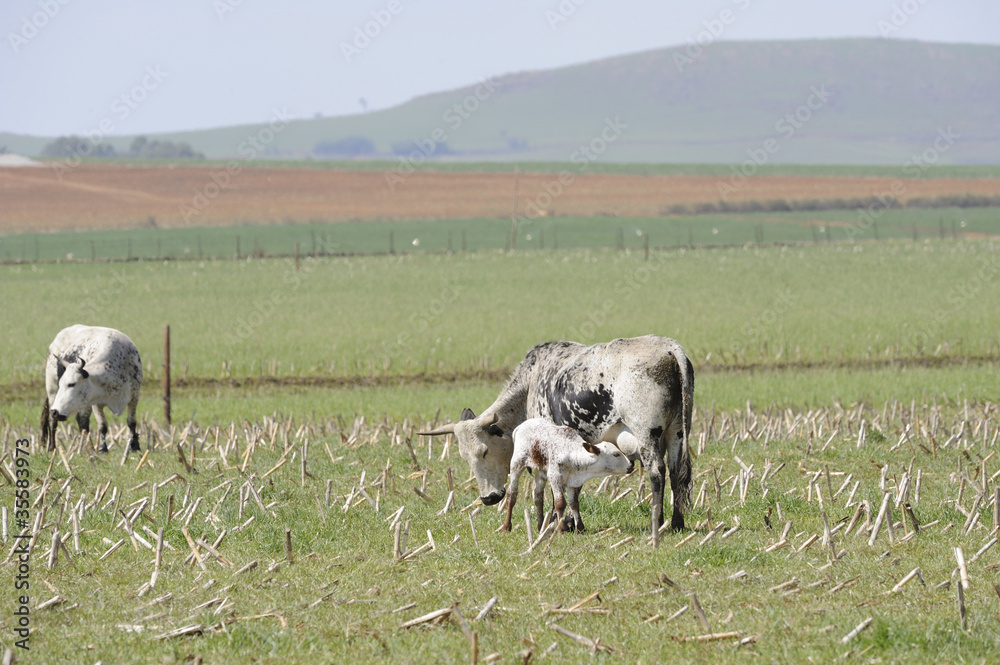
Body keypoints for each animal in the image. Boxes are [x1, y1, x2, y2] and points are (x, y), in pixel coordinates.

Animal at [41, 325, 143, 454]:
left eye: (71, 384)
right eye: (62, 383)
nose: (55, 411)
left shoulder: (134, 397)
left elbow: (131, 422)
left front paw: (135, 446)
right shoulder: (96, 403)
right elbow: (102, 425)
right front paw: (103, 448)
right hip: (53, 392)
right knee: (55, 421)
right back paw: (53, 447)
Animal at [502, 418, 633, 533]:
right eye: (616, 454)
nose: (631, 465)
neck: (570, 452)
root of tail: (521, 426)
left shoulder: (572, 482)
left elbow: (574, 504)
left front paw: (580, 528)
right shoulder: (555, 477)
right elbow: (560, 503)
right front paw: (561, 529)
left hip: (541, 472)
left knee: (538, 497)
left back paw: (541, 527)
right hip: (517, 464)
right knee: (512, 495)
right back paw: (506, 526)